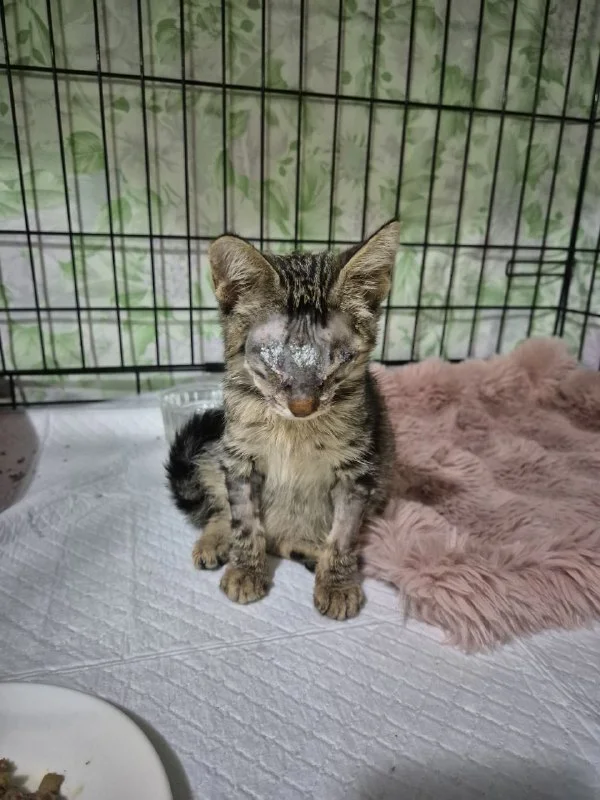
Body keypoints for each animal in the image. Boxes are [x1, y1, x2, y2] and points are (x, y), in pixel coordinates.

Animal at [167, 220, 399, 619]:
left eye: (338, 359)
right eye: (273, 359)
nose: (302, 405)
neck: (295, 431)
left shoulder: (359, 469)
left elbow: (344, 534)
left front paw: (337, 582)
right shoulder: (239, 458)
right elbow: (244, 520)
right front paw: (246, 568)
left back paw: (308, 551)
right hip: (215, 454)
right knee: (221, 507)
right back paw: (215, 539)